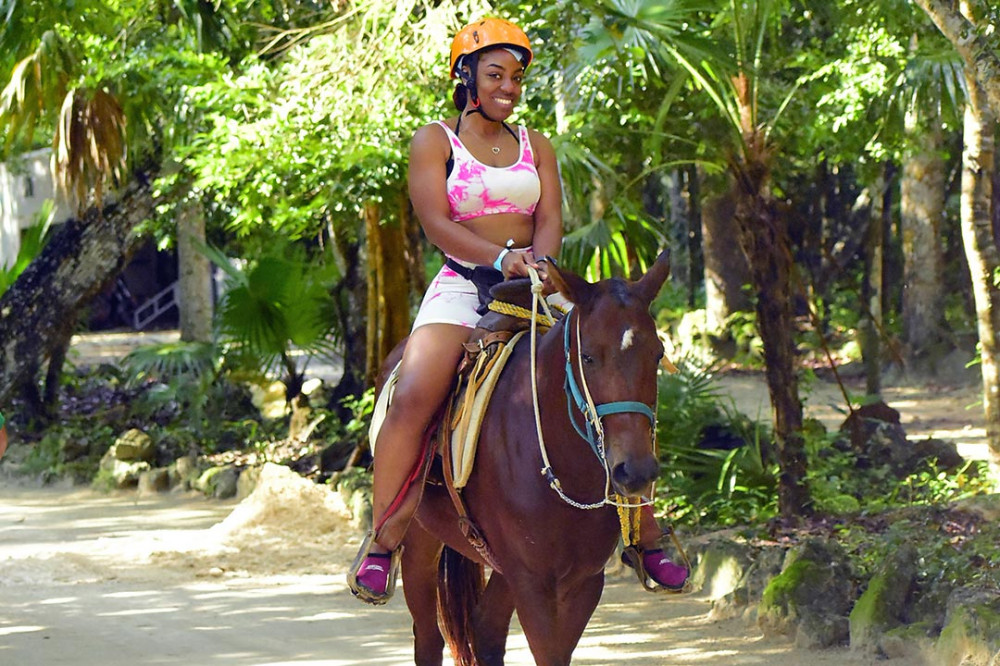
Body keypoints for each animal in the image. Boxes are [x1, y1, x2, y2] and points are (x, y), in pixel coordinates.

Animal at [394, 250, 668, 664]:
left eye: (658, 354)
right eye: (588, 357)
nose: (635, 471)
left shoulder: (584, 581)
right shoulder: (532, 582)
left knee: (485, 629)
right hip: (419, 541)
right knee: (428, 637)